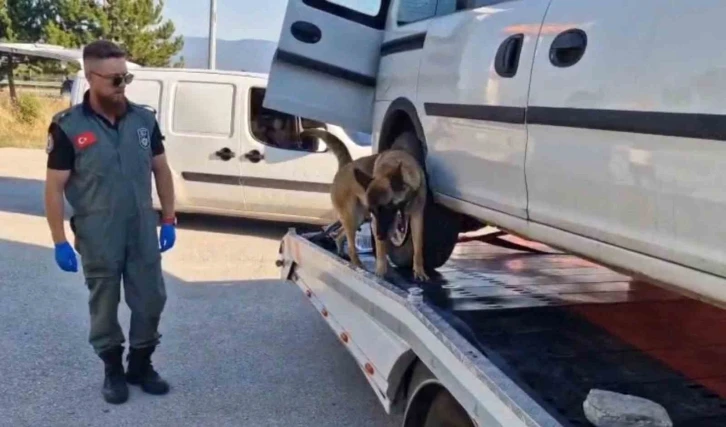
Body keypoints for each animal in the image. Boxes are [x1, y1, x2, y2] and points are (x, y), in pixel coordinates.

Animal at [301, 128, 429, 281]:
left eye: (386, 207)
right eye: (374, 210)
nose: (378, 235)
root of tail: (346, 165)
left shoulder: (415, 217)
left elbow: (418, 247)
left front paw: (419, 271)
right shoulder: (378, 223)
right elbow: (381, 249)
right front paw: (380, 272)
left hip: (360, 218)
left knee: (340, 235)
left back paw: (341, 252)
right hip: (353, 216)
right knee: (351, 246)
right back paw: (358, 264)